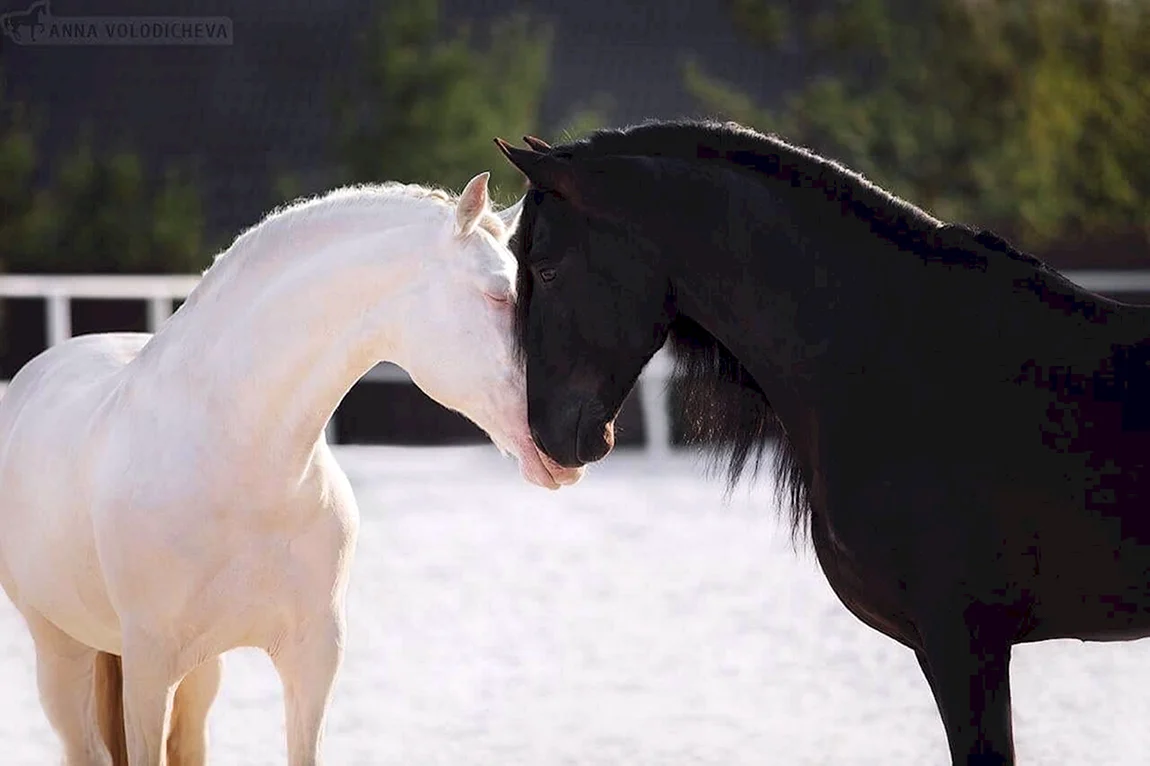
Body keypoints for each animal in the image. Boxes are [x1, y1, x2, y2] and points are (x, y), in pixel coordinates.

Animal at [0, 171, 582, 766]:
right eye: (499, 294)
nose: (572, 439)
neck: (240, 464)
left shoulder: (312, 659)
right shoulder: (149, 669)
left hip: (199, 677)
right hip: (63, 657)